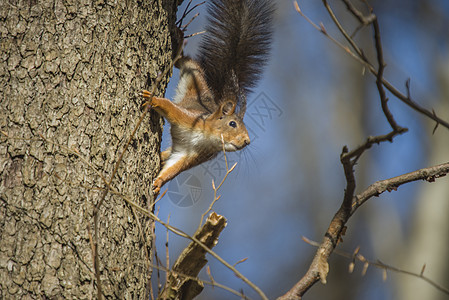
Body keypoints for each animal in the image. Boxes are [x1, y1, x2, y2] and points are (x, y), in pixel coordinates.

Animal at [143, 0, 272, 195]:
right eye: (232, 124)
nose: (247, 141)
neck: (206, 138)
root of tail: (211, 95)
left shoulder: (192, 155)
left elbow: (174, 166)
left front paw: (159, 182)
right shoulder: (189, 118)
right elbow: (170, 108)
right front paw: (154, 100)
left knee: (166, 154)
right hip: (193, 72)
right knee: (186, 60)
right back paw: (178, 41)